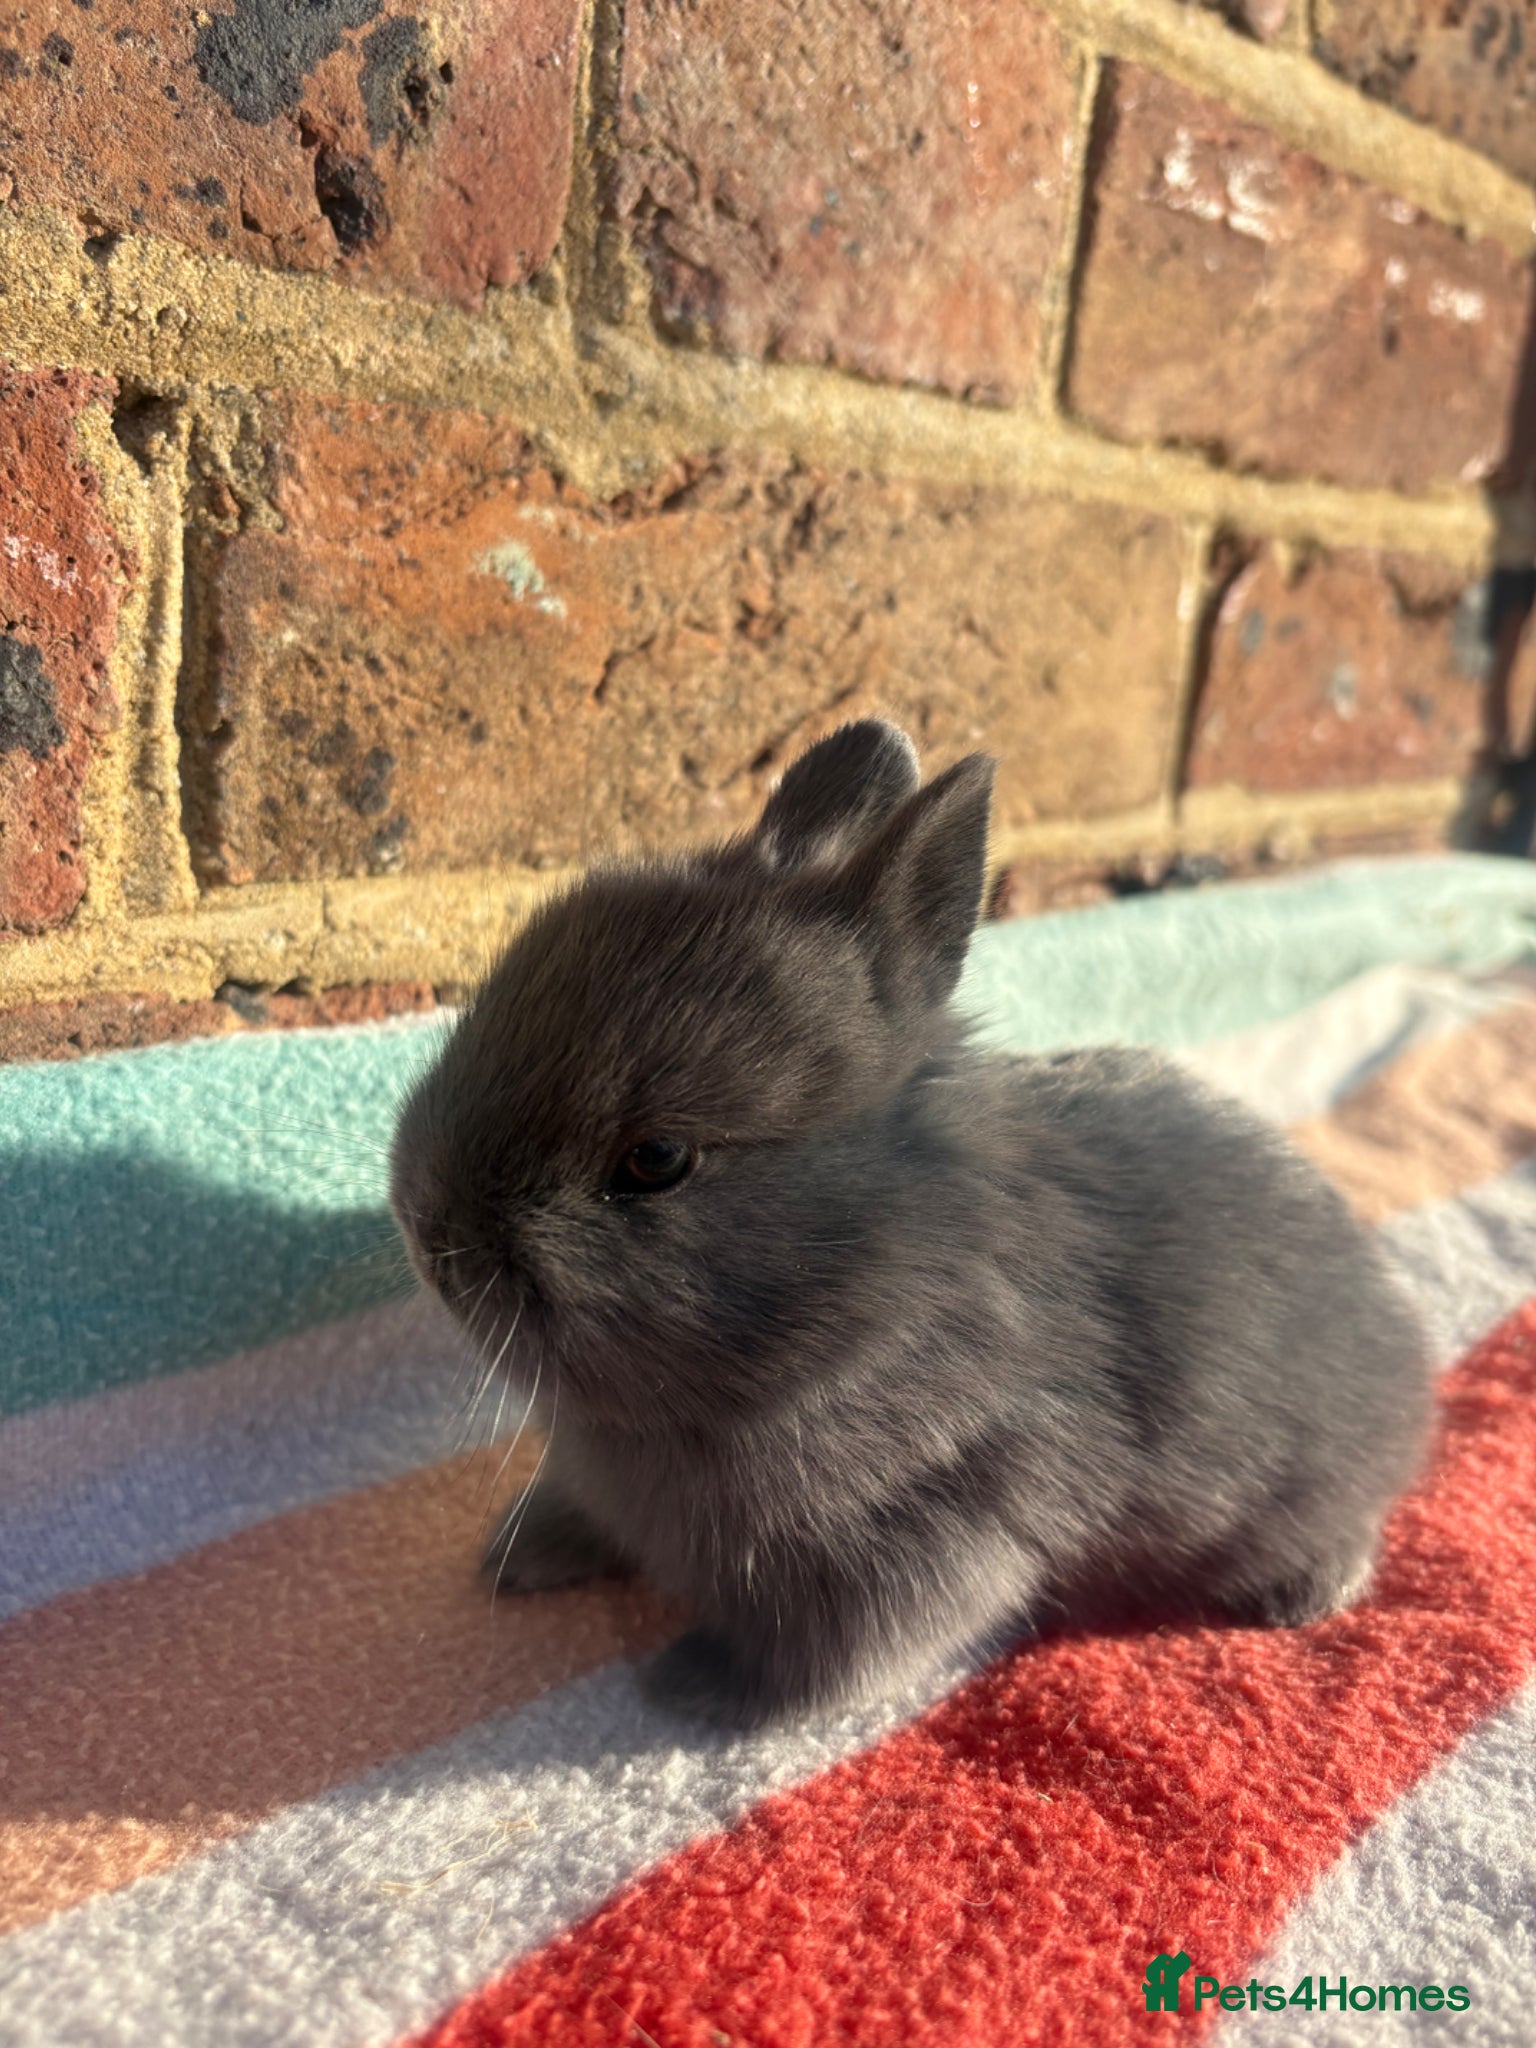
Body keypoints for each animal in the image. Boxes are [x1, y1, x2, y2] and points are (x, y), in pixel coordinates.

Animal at [389, 720, 1432, 1729]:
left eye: (657, 1160)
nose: (428, 1233)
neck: (872, 1286)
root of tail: (1407, 1362)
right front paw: (514, 1557)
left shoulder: (940, 1528)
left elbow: (836, 1661)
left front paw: (692, 1689)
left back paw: (1306, 1596)